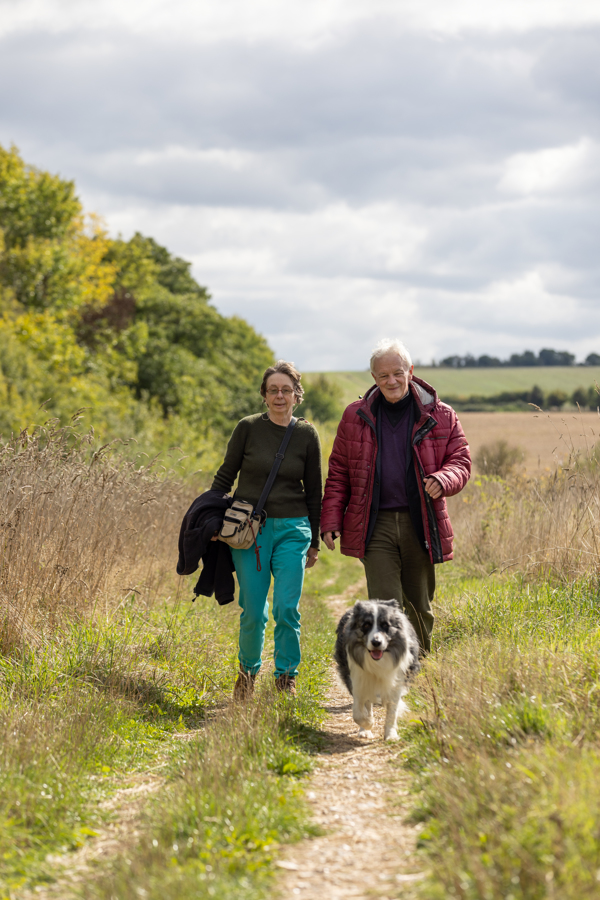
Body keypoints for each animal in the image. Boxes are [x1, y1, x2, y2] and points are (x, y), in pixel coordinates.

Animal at [336, 600, 420, 740]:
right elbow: (358, 712)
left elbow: (392, 712)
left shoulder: (396, 681)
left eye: (385, 625)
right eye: (366, 625)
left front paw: (391, 735)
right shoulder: (358, 679)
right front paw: (367, 724)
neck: (378, 662)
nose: (376, 642)